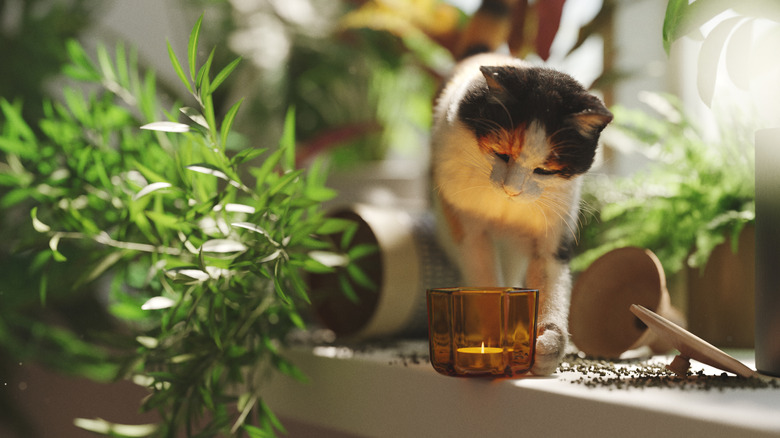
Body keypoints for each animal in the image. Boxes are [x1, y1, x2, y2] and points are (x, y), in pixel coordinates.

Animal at [430, 0, 612, 376]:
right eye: (501, 152)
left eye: (545, 170)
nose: (512, 189)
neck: (506, 208)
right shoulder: (471, 232)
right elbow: (483, 279)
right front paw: (487, 340)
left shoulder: (553, 237)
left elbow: (551, 287)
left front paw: (545, 346)